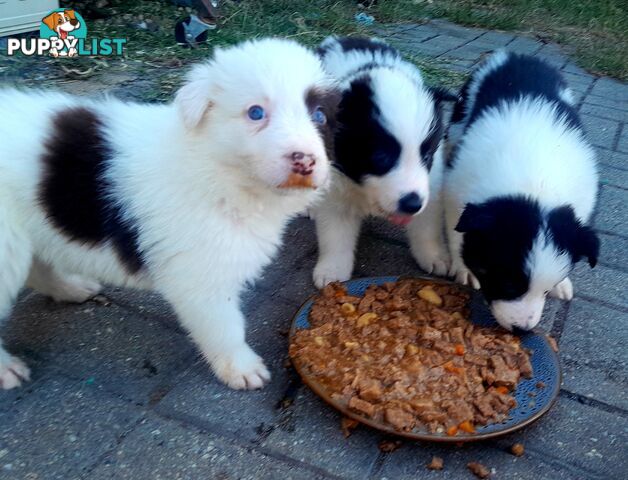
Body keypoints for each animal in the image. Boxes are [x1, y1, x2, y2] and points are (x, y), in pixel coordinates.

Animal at [0, 37, 338, 390]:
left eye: (319, 115)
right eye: (255, 113)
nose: (305, 160)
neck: (215, 170)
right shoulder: (200, 274)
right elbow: (225, 326)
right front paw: (241, 368)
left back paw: (70, 288)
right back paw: (7, 368)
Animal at [310, 37, 454, 286]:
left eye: (426, 156)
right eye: (381, 157)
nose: (412, 204)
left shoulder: (431, 184)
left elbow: (427, 226)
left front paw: (434, 256)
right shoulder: (333, 188)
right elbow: (334, 233)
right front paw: (332, 271)